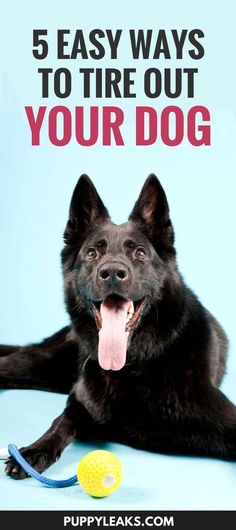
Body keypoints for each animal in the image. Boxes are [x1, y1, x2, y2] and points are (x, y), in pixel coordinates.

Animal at [0, 174, 235, 478]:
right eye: (91, 253)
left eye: (140, 253)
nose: (112, 272)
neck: (134, 366)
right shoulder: (80, 402)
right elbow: (61, 421)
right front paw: (34, 451)